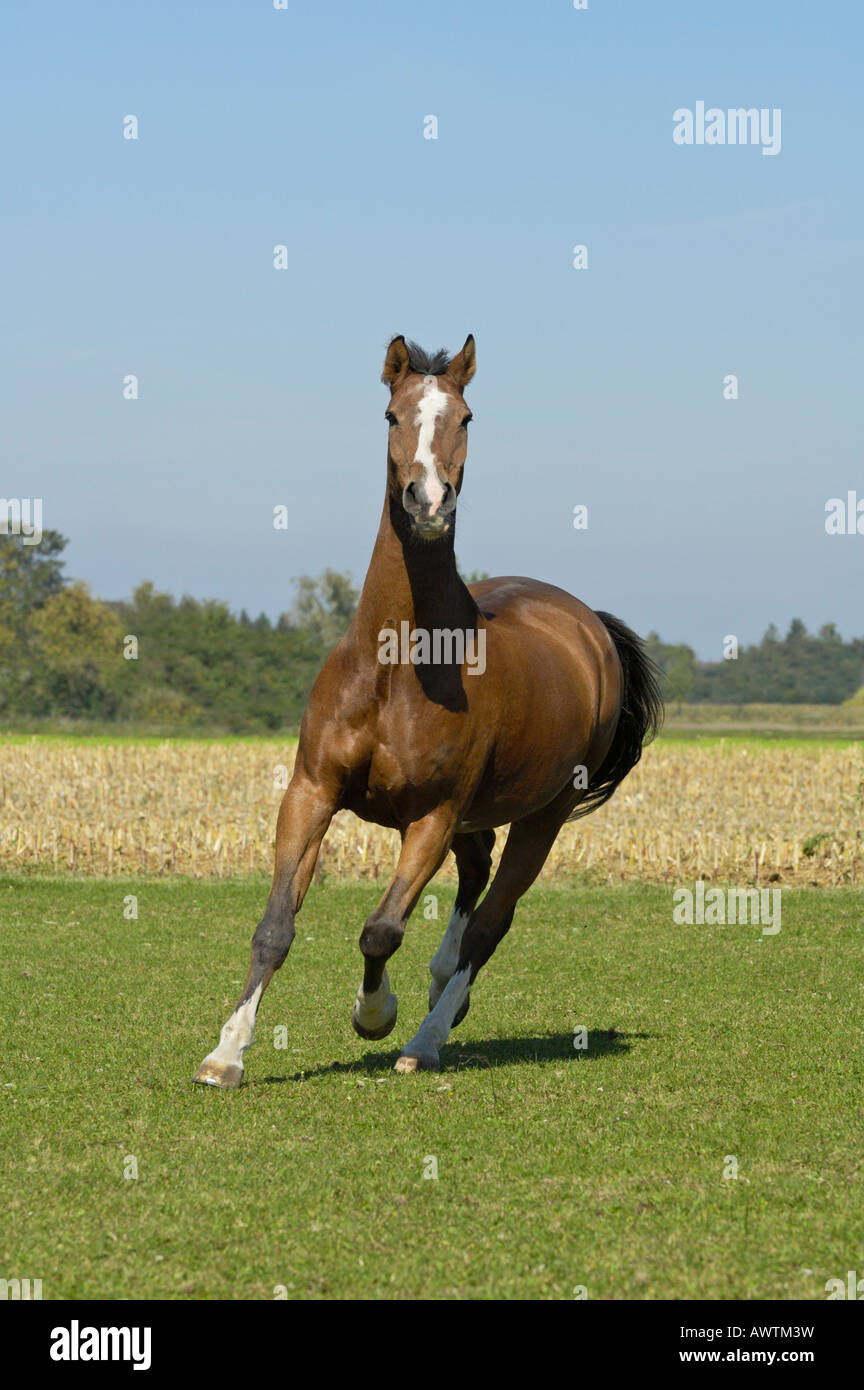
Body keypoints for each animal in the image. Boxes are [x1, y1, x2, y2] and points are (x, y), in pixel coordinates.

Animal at [193, 333, 661, 1084]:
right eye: (391, 414)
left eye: (466, 418)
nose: (429, 500)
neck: (394, 669)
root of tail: (589, 626)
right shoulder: (311, 792)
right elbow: (274, 928)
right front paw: (225, 1055)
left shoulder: (432, 817)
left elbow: (381, 929)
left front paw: (373, 1015)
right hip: (478, 815)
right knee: (476, 882)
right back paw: (445, 991)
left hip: (543, 814)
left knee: (492, 919)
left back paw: (427, 1036)